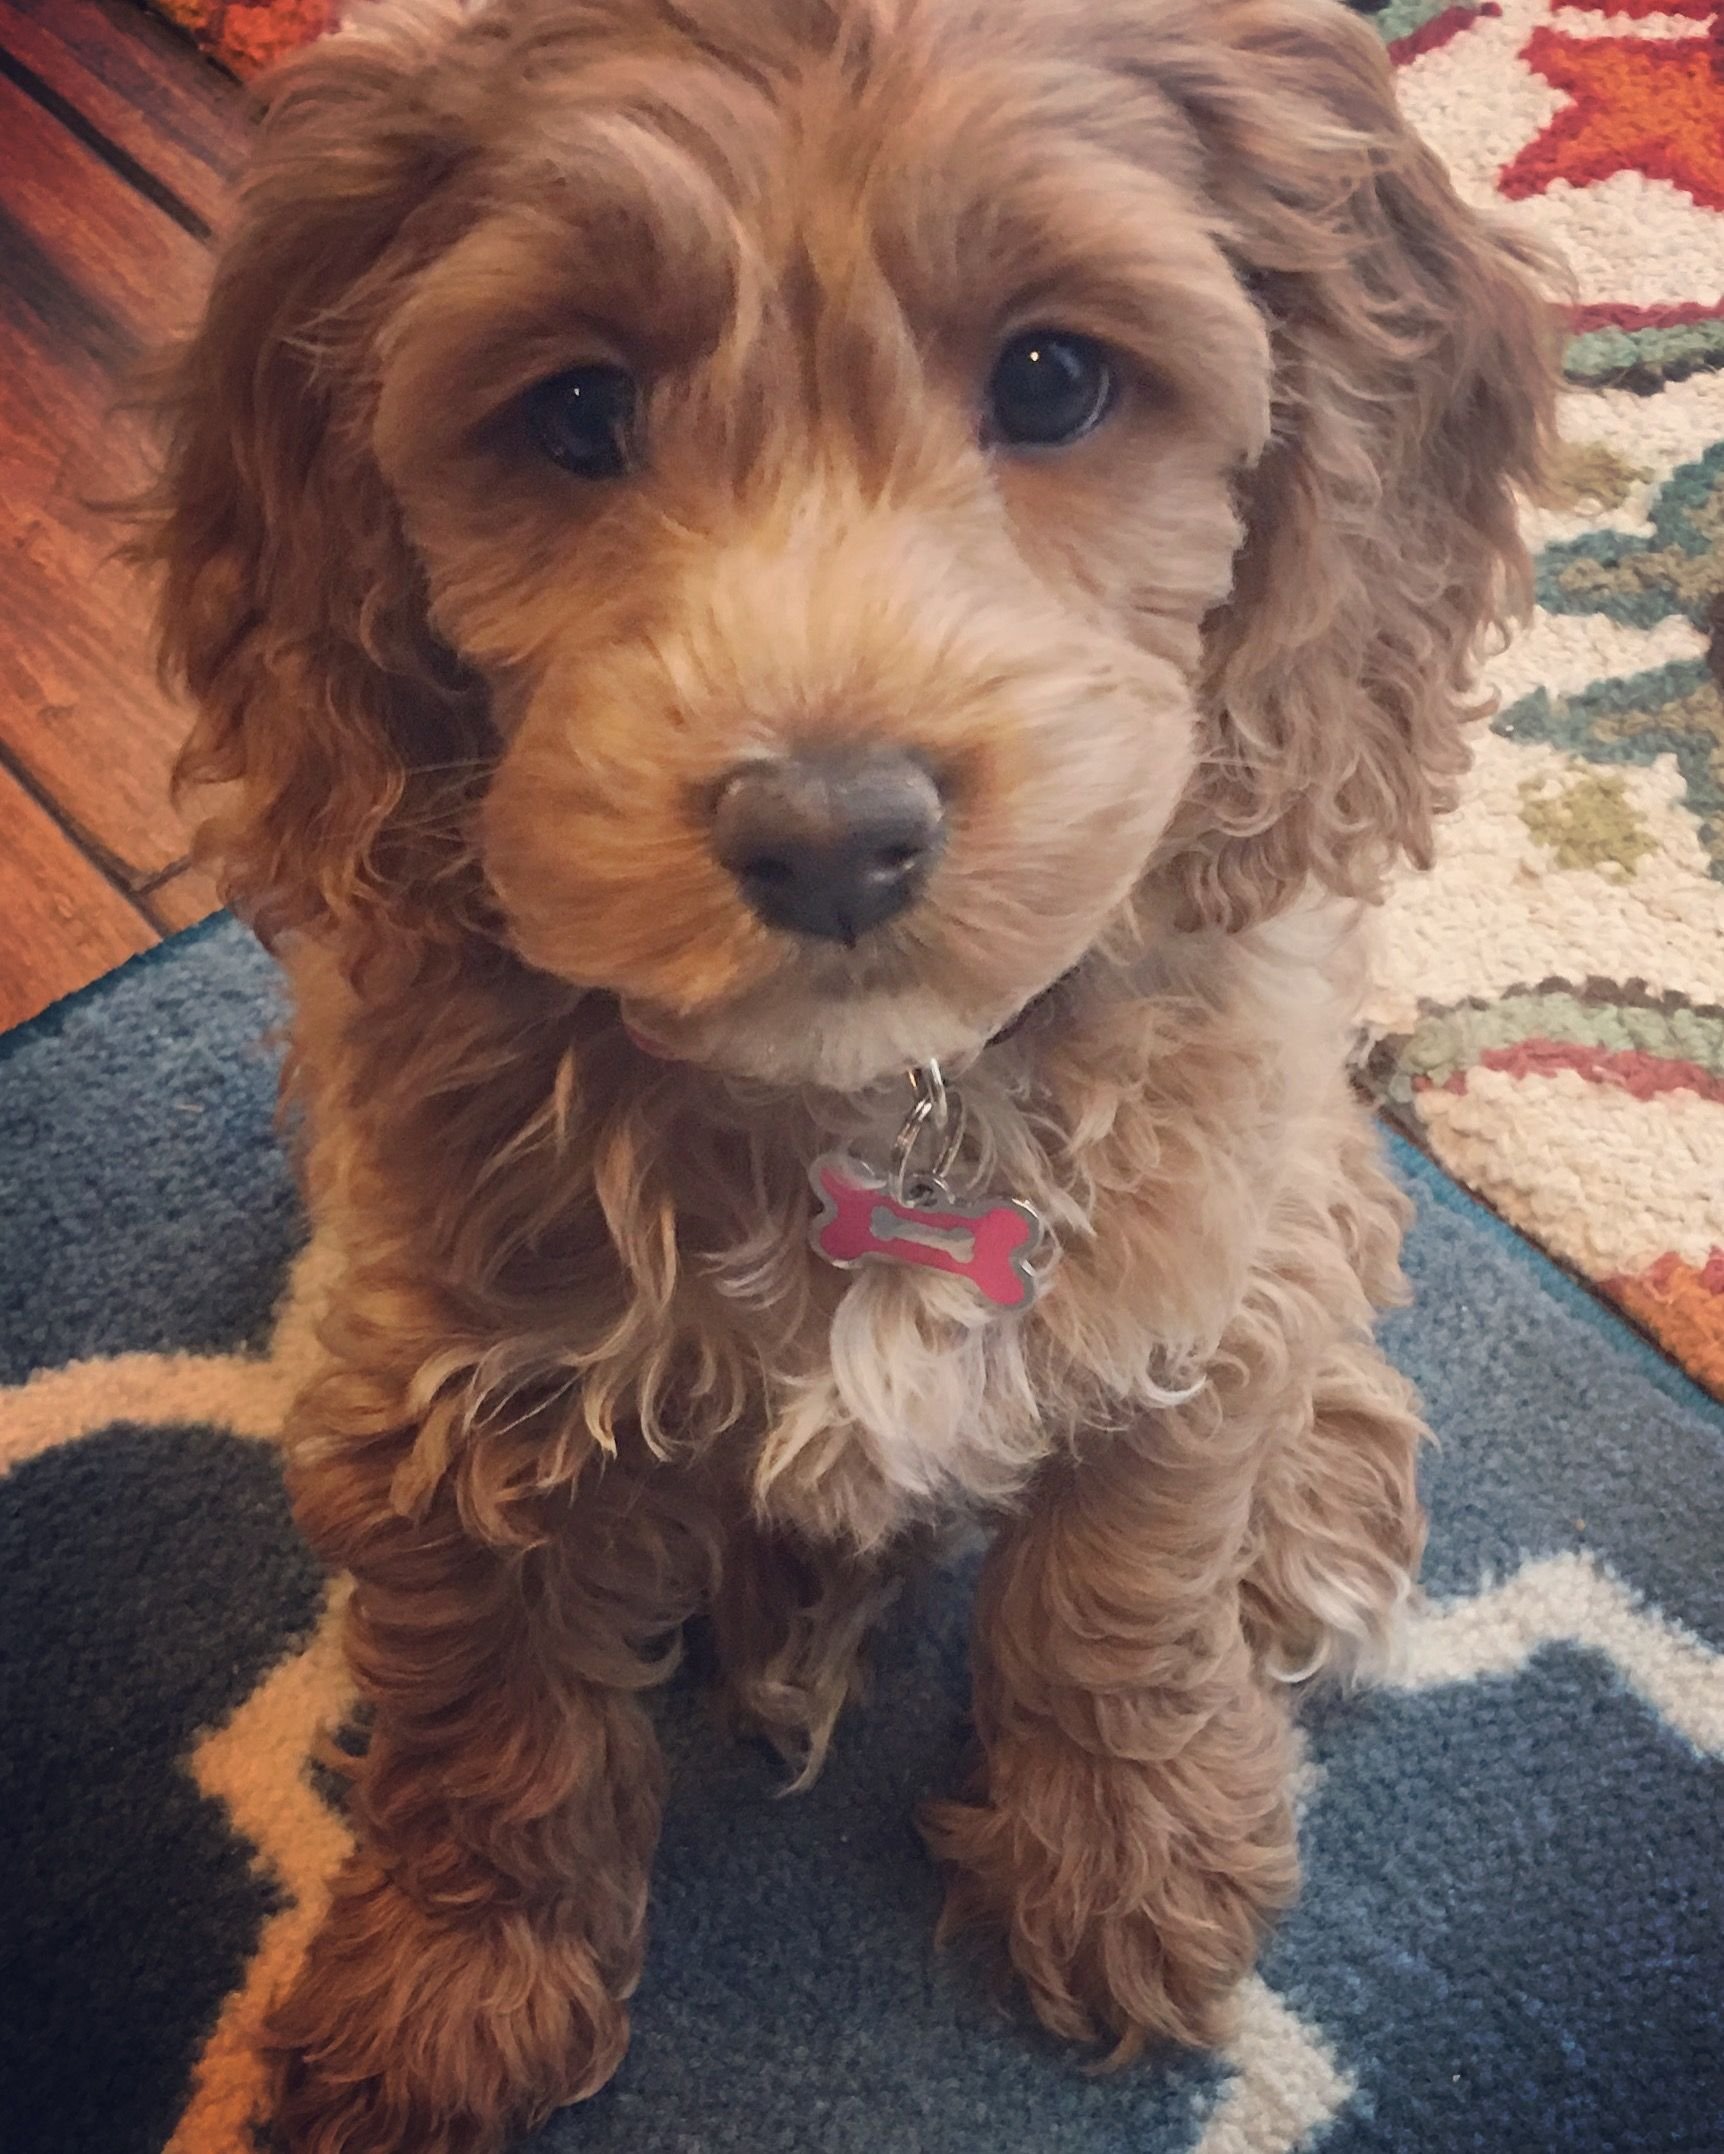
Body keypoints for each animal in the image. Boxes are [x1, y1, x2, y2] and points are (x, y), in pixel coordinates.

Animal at [150, 0, 1555, 2144]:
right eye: (573, 413)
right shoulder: (437, 1356)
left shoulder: (1170, 1265)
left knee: (1328, 1249)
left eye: (1052, 376)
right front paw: (444, 1990)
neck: (878, 1099)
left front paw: (1123, 1859)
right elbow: (487, 1701)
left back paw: (1311, 1499)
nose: (826, 832)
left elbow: (1128, 1575)